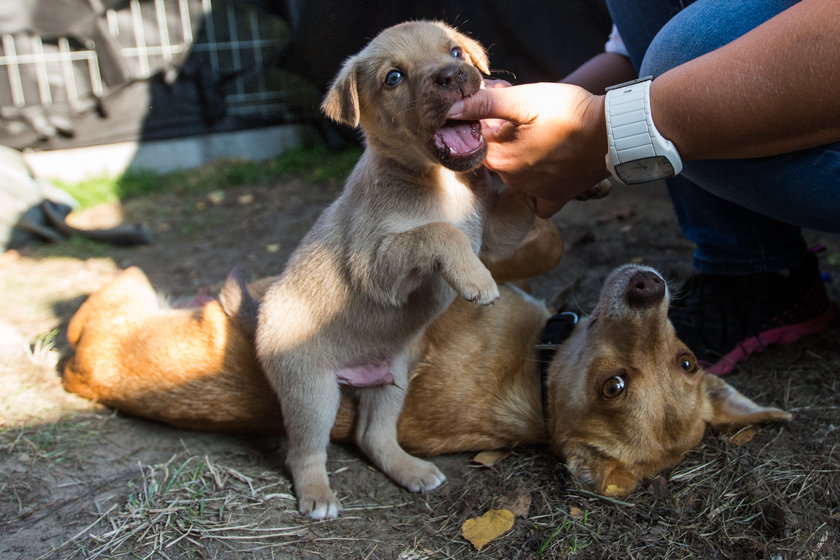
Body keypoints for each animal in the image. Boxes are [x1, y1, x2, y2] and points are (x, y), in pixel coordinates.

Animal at [62, 258, 792, 508]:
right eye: (690, 361)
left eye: (614, 387)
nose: (648, 287)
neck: (537, 375)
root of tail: (81, 377)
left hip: (122, 294)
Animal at [253, 23, 540, 520]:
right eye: (393, 77)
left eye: (455, 51)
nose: (452, 75)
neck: (442, 181)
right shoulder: (377, 269)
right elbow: (438, 233)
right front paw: (477, 281)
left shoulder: (494, 231)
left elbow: (514, 202)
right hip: (311, 390)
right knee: (304, 450)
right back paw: (318, 496)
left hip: (393, 379)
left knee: (372, 435)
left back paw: (412, 470)